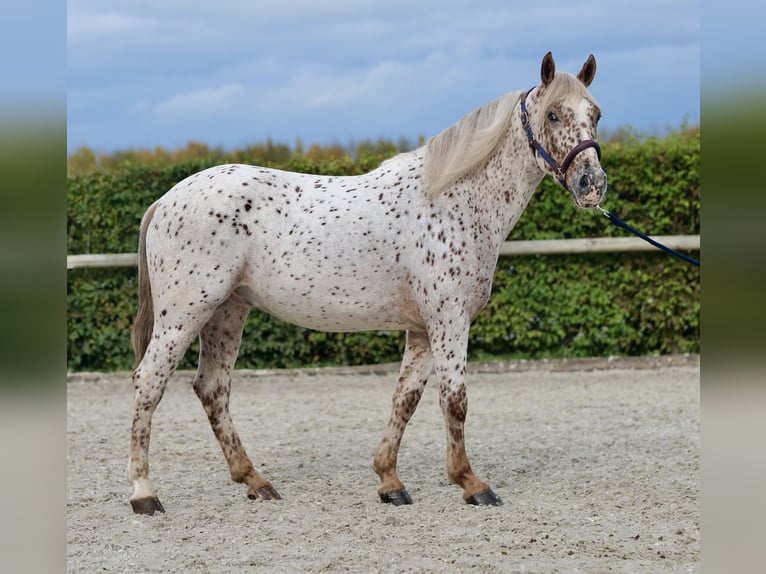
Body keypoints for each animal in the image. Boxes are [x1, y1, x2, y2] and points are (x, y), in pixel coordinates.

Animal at [127, 50, 608, 516]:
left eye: (596, 114)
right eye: (553, 115)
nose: (592, 184)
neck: (454, 200)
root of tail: (165, 200)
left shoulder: (422, 330)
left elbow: (405, 400)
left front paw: (390, 482)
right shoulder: (449, 321)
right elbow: (455, 400)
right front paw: (472, 484)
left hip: (227, 312)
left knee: (212, 388)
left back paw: (255, 482)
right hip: (185, 314)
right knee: (149, 381)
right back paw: (144, 493)